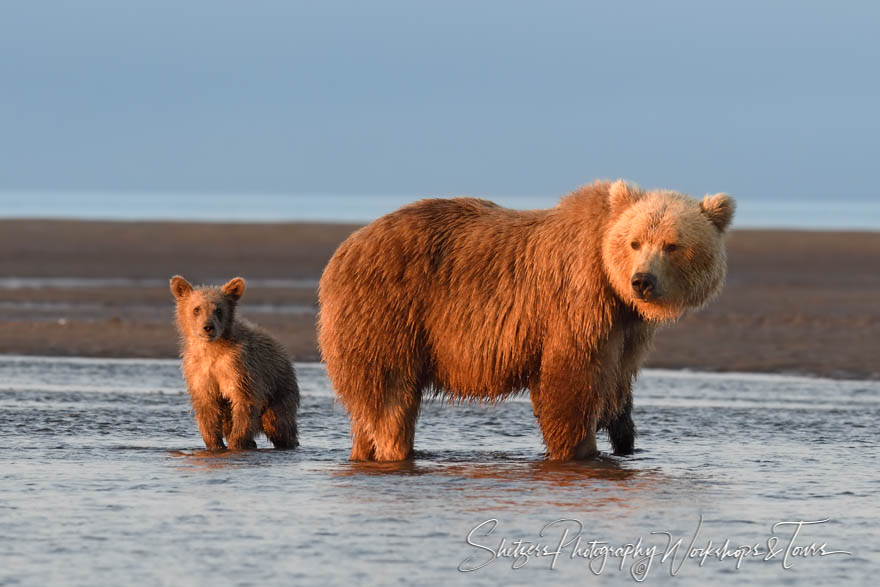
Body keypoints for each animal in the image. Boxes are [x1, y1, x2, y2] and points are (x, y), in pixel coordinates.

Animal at [320, 181, 732, 462]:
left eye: (671, 244)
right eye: (634, 242)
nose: (642, 280)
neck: (611, 284)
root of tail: (343, 249)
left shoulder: (626, 330)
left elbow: (616, 390)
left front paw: (625, 441)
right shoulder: (575, 305)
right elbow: (569, 384)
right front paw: (578, 452)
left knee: (366, 411)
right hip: (388, 314)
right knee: (390, 401)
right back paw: (397, 452)